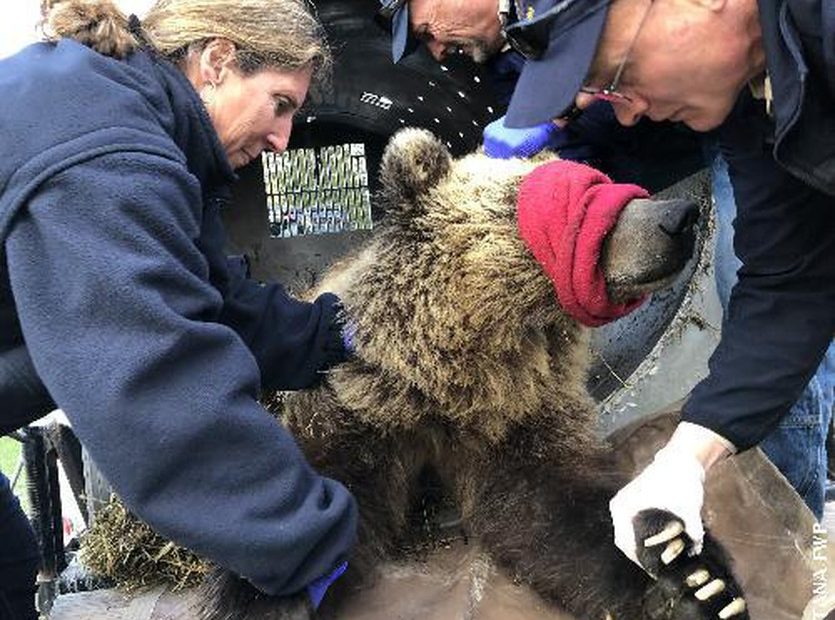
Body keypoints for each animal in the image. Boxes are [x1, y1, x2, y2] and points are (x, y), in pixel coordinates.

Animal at [204, 128, 752, 616]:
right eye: (559, 203)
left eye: (603, 179)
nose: (678, 216)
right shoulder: (357, 407)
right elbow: (323, 485)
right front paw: (275, 595)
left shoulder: (519, 420)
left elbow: (554, 509)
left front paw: (690, 576)